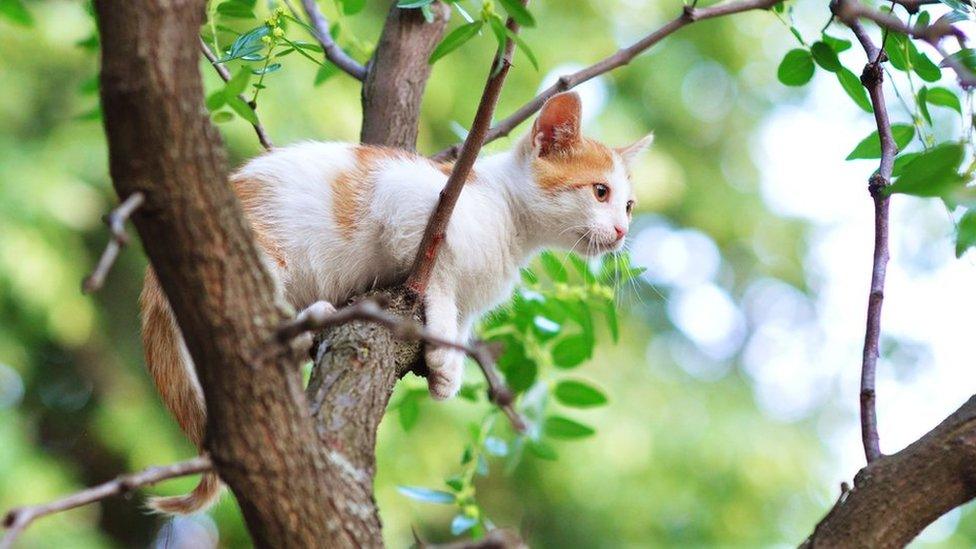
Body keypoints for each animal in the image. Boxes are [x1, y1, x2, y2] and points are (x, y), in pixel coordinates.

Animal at [137, 91, 652, 512]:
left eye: (628, 205)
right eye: (600, 192)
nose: (622, 232)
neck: (512, 223)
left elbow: (463, 320)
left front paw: (450, 367)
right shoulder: (411, 203)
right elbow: (438, 283)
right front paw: (441, 347)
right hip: (259, 254)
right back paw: (307, 321)